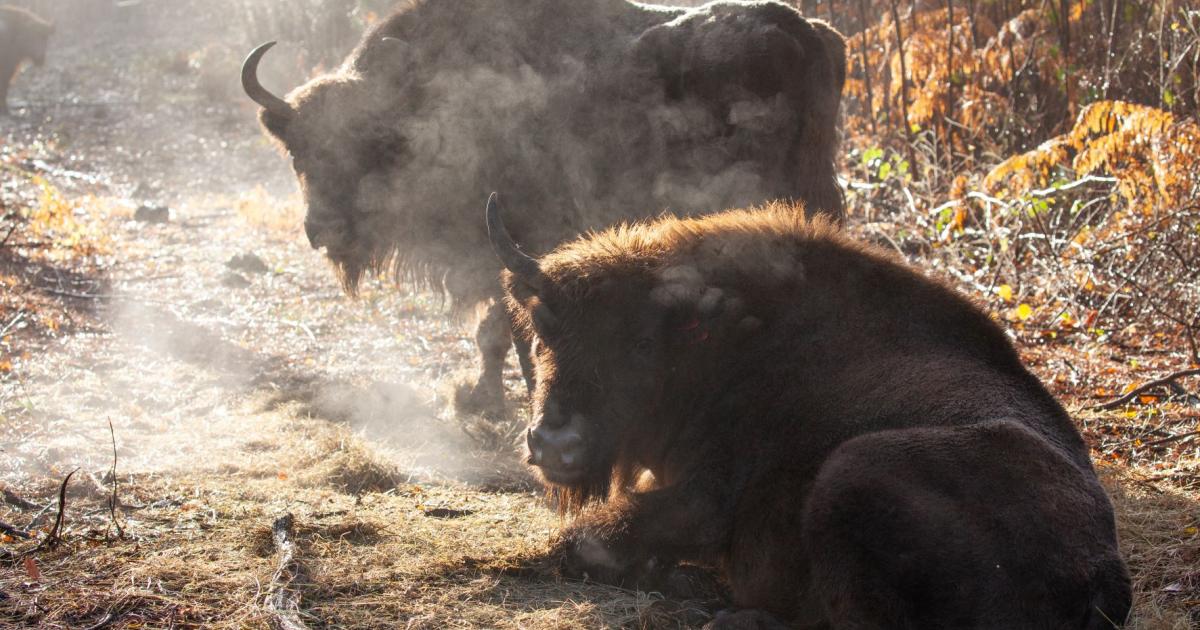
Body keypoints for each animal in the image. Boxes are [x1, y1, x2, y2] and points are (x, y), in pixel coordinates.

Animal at [242, 0, 847, 416]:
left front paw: (482, 398)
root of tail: (803, 33)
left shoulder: (504, 245)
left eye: (367, 146)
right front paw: (481, 396)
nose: (321, 229)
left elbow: (496, 328)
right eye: (298, 152)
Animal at [489, 195, 1131, 628]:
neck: (724, 342)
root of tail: (1104, 574)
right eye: (543, 331)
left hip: (851, 469)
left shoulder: (703, 500)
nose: (555, 444)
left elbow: (584, 540)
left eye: (643, 344)